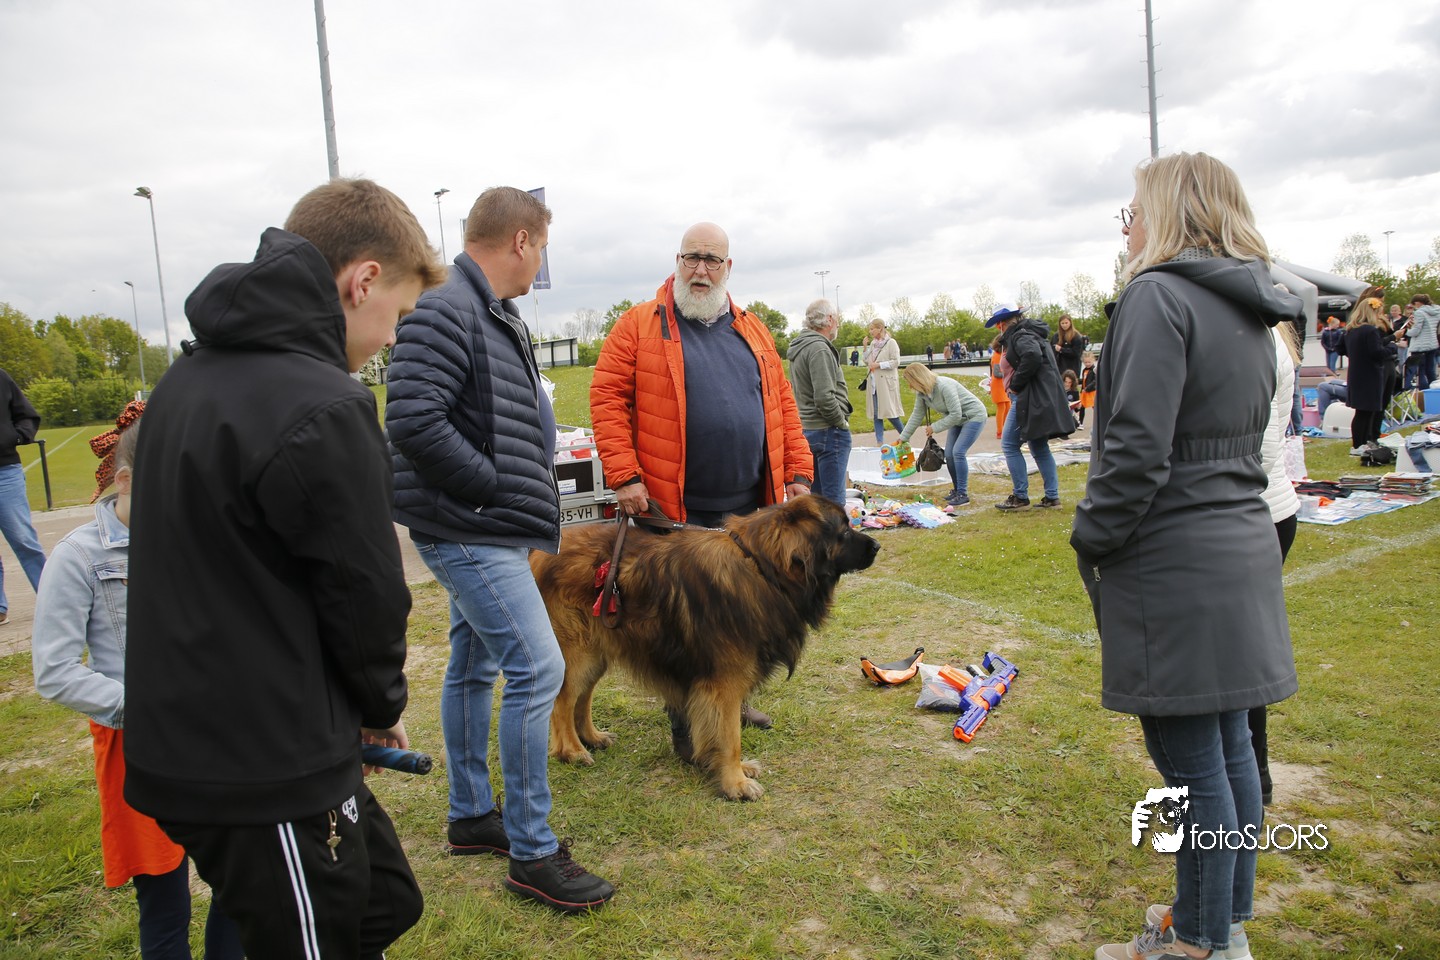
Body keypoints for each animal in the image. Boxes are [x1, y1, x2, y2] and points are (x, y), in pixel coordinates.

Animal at [530, 494, 880, 800]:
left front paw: (734, 771)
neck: (762, 566)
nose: (877, 545)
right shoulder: (723, 684)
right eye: (843, 531)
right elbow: (729, 735)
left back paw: (592, 737)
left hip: (598, 649)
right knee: (563, 700)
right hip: (577, 650)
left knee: (582, 697)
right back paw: (572, 751)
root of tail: (541, 553)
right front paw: (735, 783)